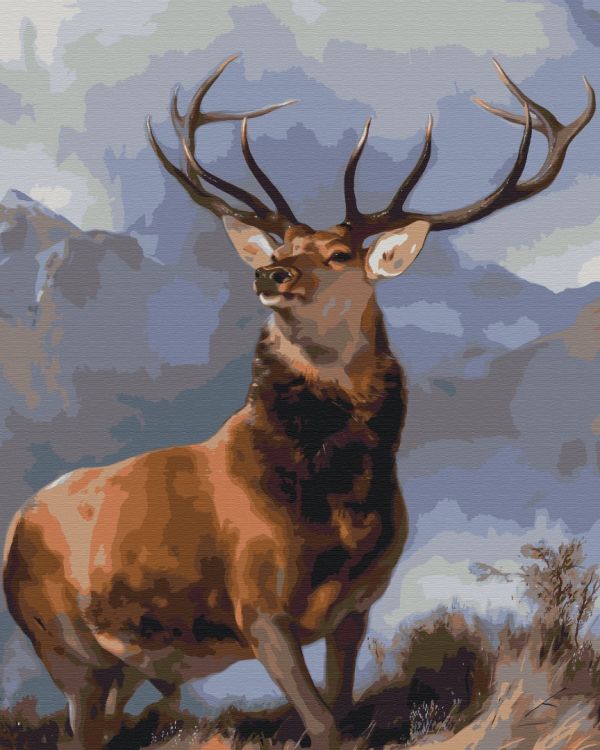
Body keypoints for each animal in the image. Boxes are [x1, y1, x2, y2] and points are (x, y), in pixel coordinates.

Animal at [3, 55, 594, 750]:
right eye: (281, 250)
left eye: (339, 254)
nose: (270, 273)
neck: (338, 510)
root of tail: (15, 525)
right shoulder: (257, 607)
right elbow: (322, 723)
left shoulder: (357, 609)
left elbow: (342, 711)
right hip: (64, 647)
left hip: (124, 664)